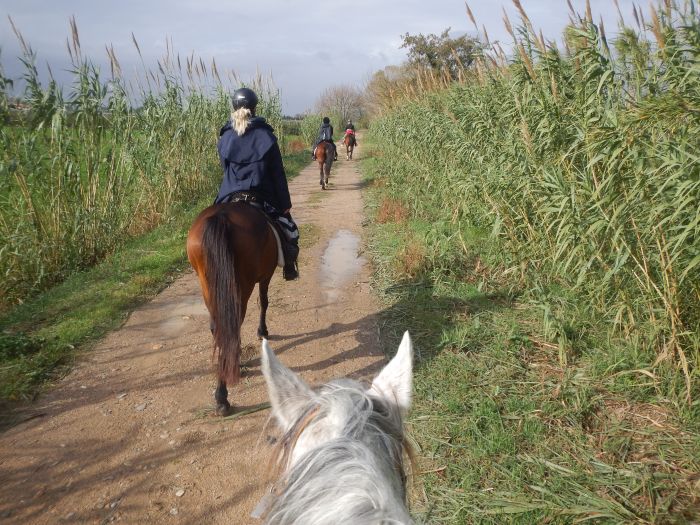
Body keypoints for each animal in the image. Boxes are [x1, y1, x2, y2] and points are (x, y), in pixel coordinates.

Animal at [187, 203, 278, 416]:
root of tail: (221, 217)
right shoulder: (266, 275)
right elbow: (264, 301)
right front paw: (262, 331)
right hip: (242, 283)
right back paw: (223, 395)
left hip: (208, 285)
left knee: (219, 328)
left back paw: (222, 392)